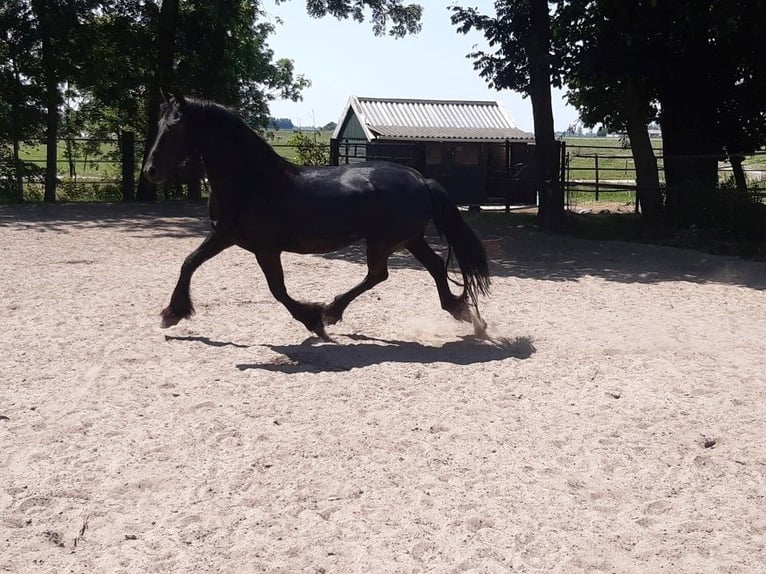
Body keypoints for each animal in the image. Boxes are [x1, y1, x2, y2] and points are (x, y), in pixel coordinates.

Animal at [143, 90, 490, 342]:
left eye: (174, 125)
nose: (150, 171)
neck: (254, 182)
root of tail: (421, 179)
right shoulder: (225, 235)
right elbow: (190, 262)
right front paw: (172, 313)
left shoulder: (265, 249)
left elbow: (278, 290)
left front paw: (313, 322)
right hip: (410, 239)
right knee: (431, 267)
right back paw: (466, 314)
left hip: (385, 241)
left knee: (379, 274)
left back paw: (331, 312)